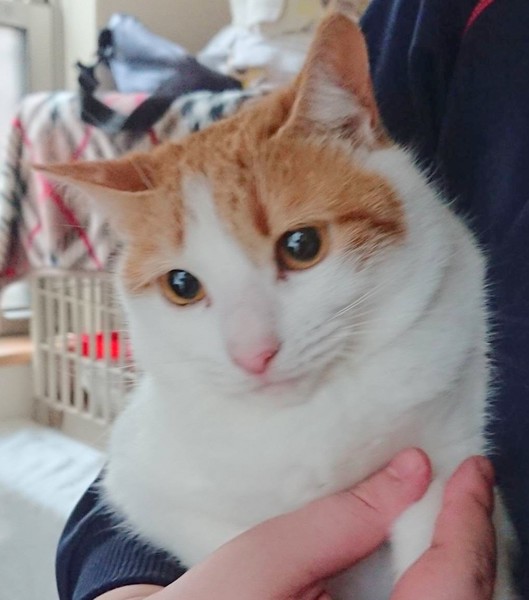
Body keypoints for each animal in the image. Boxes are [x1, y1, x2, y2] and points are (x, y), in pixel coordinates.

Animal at [39, 7, 518, 600]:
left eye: (302, 245)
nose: (254, 354)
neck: (311, 418)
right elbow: (217, 534)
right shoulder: (140, 482)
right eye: (182, 284)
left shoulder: (448, 446)